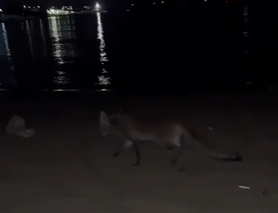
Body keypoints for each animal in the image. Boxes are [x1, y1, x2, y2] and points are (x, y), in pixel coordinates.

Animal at [99, 110, 242, 168]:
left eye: (103, 128)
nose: (100, 134)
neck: (119, 124)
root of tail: (175, 122)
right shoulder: (129, 140)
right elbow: (122, 147)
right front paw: (117, 153)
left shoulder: (134, 140)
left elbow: (137, 153)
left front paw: (137, 163)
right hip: (172, 139)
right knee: (181, 147)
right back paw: (175, 158)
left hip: (160, 141)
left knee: (179, 147)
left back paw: (173, 158)